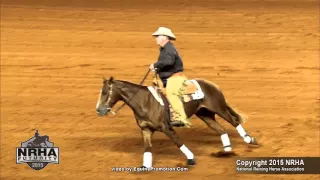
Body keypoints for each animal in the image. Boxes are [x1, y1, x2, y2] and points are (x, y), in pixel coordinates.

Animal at [95, 75, 258, 167]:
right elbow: (147, 148)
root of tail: (211, 84)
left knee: (234, 122)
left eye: (105, 92)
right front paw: (145, 166)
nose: (99, 110)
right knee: (222, 130)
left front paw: (191, 159)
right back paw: (227, 151)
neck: (144, 101)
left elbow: (177, 142)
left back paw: (250, 140)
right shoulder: (146, 130)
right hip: (205, 114)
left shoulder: (166, 127)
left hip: (220, 109)